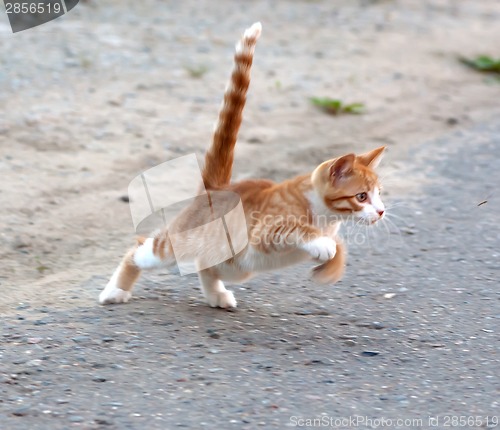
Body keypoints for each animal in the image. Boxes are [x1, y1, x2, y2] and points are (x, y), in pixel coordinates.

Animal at [97, 21, 386, 310]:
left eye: (379, 194)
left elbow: (340, 249)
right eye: (362, 196)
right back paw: (116, 290)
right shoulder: (267, 230)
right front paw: (320, 244)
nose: (382, 211)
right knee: (139, 249)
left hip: (235, 266)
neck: (324, 216)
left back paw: (216, 294)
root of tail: (215, 188)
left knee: (206, 265)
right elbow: (298, 229)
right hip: (178, 245)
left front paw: (331, 267)